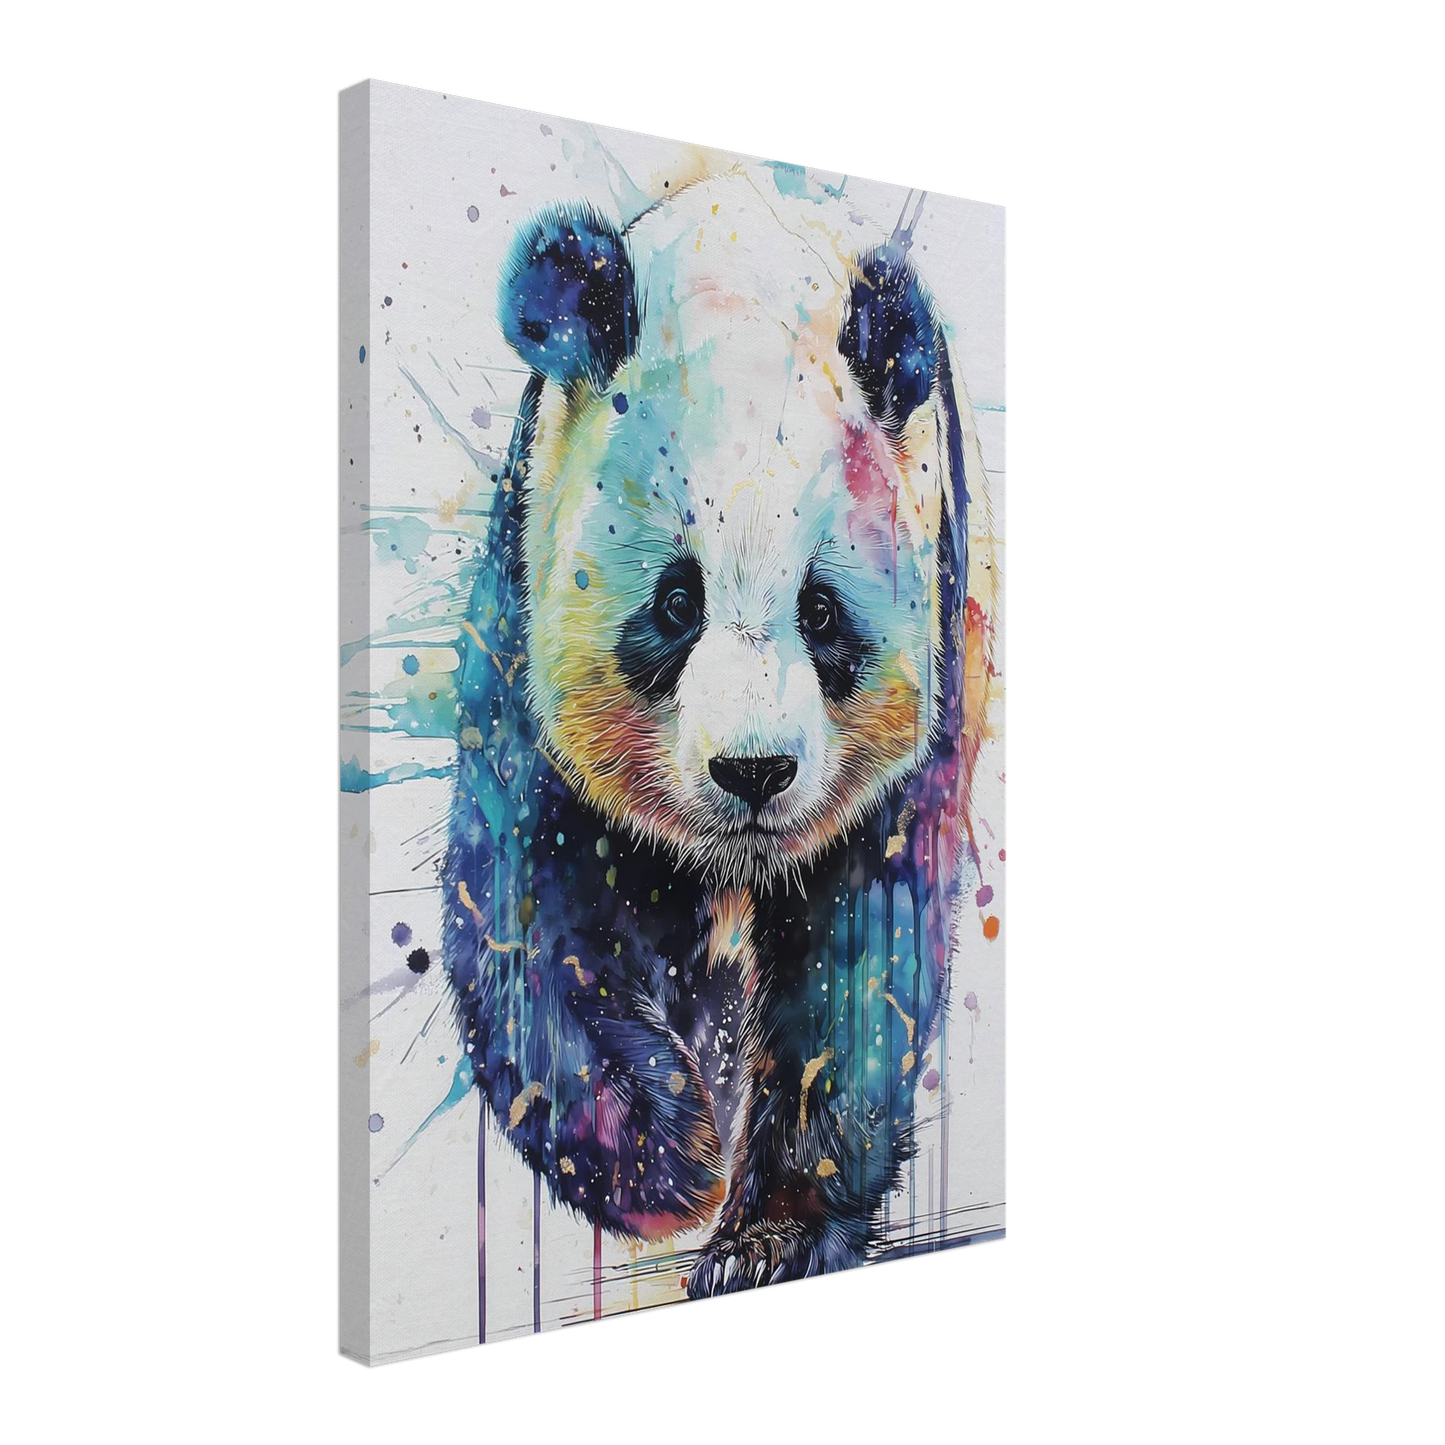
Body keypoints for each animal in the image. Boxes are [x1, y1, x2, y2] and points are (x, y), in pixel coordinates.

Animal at [444, 165, 992, 1298]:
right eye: (674, 601)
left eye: (821, 612)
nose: (753, 772)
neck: (737, 274)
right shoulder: (523, 604)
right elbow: (525, 901)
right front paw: (668, 1161)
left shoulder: (927, 634)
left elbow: (861, 949)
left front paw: (763, 1238)